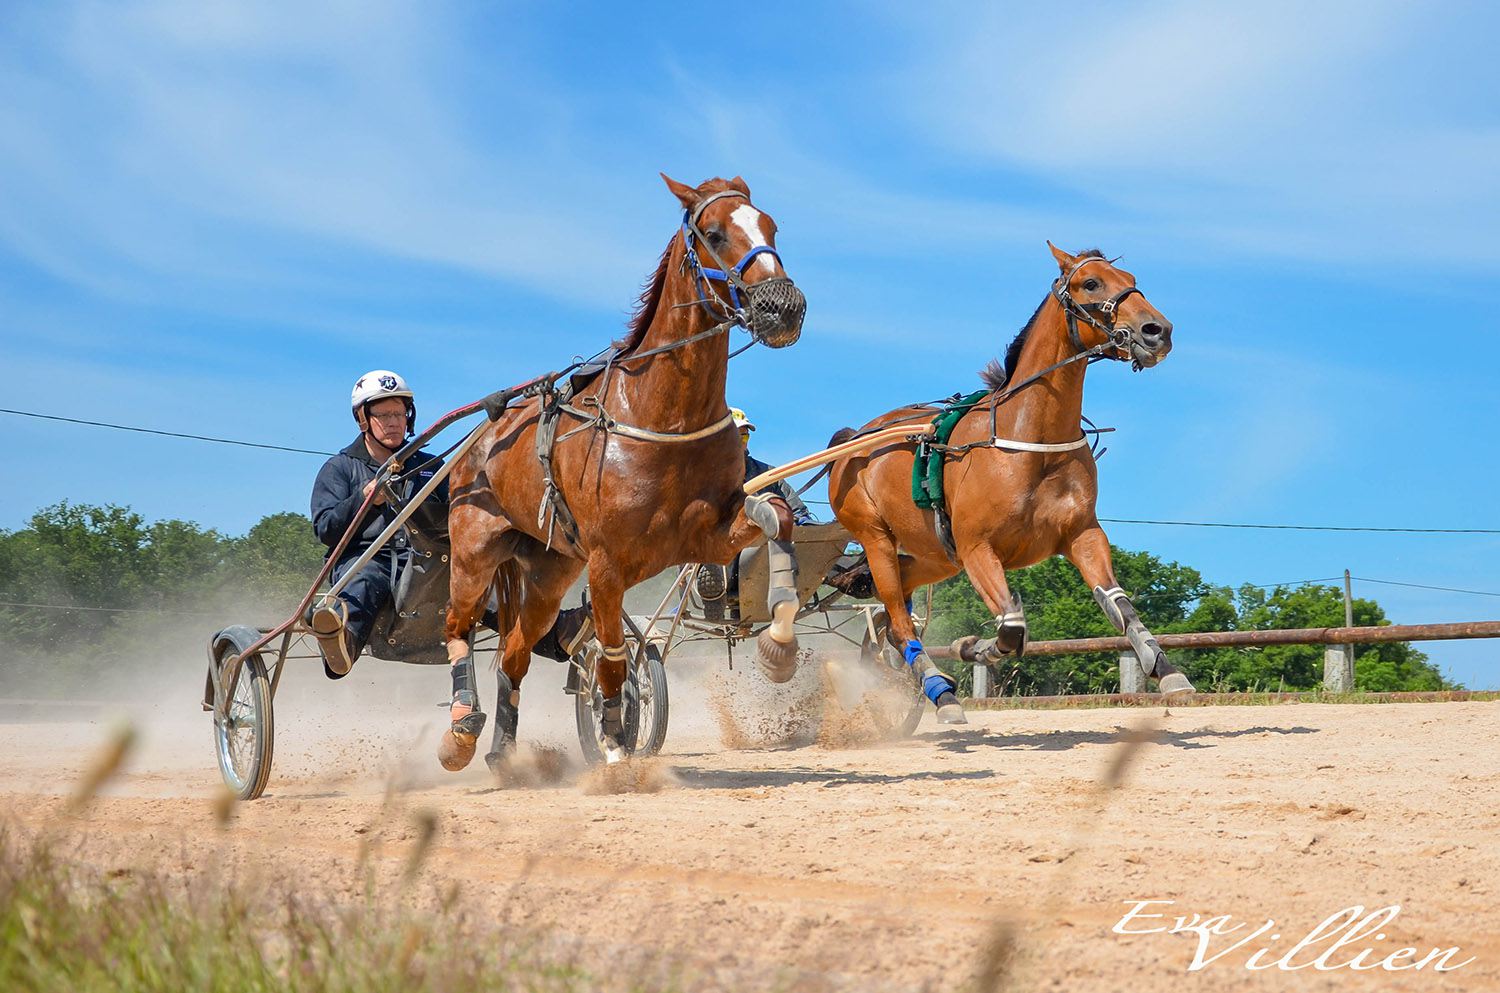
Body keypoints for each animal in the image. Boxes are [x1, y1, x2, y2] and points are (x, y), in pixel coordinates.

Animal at [438, 177, 810, 768]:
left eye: (771, 227)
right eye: (713, 232)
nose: (784, 306)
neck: (663, 414)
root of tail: (483, 439)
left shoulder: (706, 535)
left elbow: (777, 515)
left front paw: (779, 644)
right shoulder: (608, 563)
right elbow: (612, 659)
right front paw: (613, 743)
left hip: (547, 573)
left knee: (515, 654)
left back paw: (503, 752)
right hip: (474, 552)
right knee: (457, 626)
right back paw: (461, 729)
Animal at [822, 243, 1194, 723]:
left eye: (1131, 278)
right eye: (1090, 283)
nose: (1157, 331)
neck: (1031, 441)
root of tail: (855, 438)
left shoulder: (1082, 533)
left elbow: (1119, 605)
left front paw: (1167, 671)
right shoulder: (977, 548)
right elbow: (1012, 627)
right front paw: (974, 648)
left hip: (936, 555)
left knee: (896, 605)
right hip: (877, 538)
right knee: (900, 619)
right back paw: (940, 692)